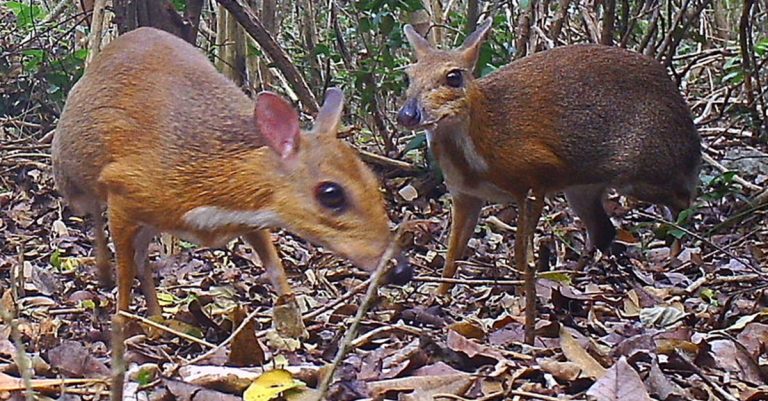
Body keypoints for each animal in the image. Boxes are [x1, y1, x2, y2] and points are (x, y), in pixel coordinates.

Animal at [400, 20, 700, 342]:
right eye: (409, 75)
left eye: (454, 76)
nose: (407, 113)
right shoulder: (465, 195)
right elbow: (452, 253)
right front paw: (438, 295)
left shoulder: (536, 177)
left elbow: (520, 252)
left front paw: (523, 297)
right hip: (582, 188)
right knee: (604, 230)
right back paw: (573, 276)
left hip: (644, 172)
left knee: (684, 201)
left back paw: (676, 255)